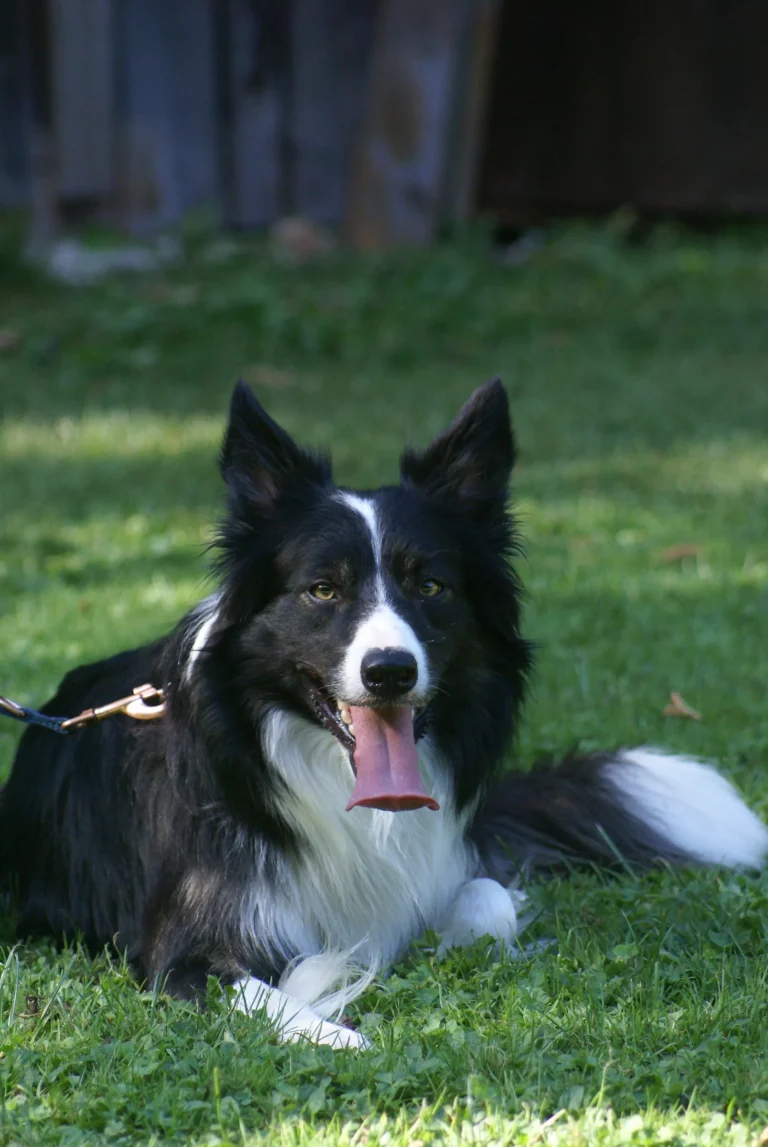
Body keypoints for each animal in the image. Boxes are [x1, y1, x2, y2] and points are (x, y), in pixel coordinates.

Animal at [1, 380, 768, 1046]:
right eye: (321, 590)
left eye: (430, 585)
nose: (390, 671)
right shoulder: (181, 948)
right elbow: (274, 993)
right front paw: (342, 1030)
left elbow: (486, 900)